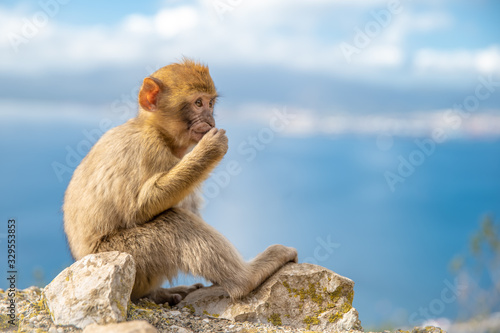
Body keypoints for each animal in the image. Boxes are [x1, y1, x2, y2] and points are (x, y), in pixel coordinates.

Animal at [62, 58, 296, 304]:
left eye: (210, 103)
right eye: (198, 103)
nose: (210, 119)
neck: (159, 133)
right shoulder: (147, 148)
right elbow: (139, 209)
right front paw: (209, 150)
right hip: (127, 256)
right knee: (174, 222)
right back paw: (245, 278)